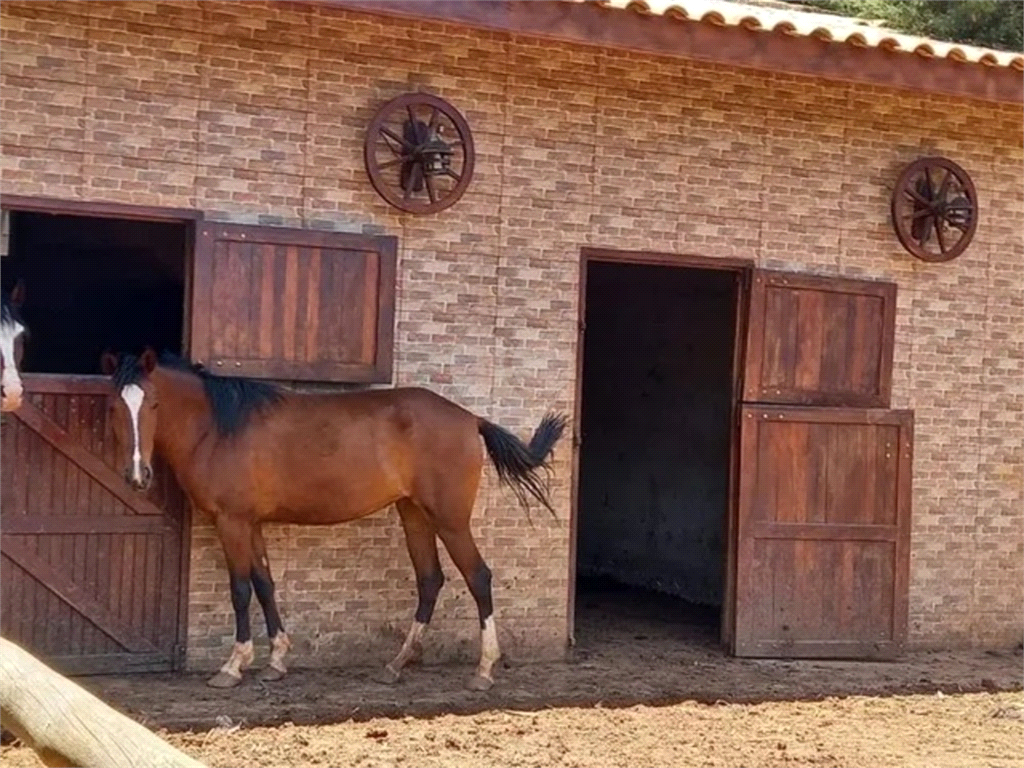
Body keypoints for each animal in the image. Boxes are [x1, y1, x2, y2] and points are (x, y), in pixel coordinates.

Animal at [100, 348, 569, 692]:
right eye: (114, 408)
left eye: (154, 403)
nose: (138, 476)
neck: (218, 427)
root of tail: (471, 419)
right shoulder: (252, 524)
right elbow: (265, 585)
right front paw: (276, 661)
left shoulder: (231, 522)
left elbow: (240, 590)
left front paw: (233, 667)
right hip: (414, 514)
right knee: (430, 580)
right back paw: (396, 664)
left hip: (450, 519)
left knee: (479, 577)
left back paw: (484, 670)